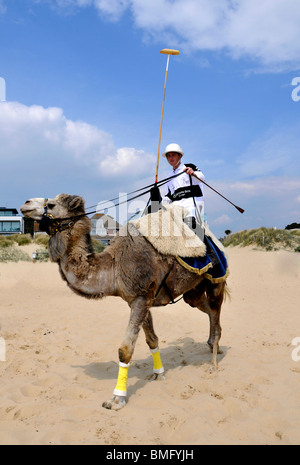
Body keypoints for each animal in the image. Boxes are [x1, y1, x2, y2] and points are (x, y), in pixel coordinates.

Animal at [20, 193, 227, 410]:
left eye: (51, 205)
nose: (25, 204)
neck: (115, 265)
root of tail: (214, 240)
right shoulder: (138, 299)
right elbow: (152, 339)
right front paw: (159, 374)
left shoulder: (141, 298)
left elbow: (125, 349)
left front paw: (117, 399)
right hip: (193, 290)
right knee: (205, 308)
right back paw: (213, 345)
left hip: (217, 279)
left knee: (215, 308)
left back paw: (213, 363)